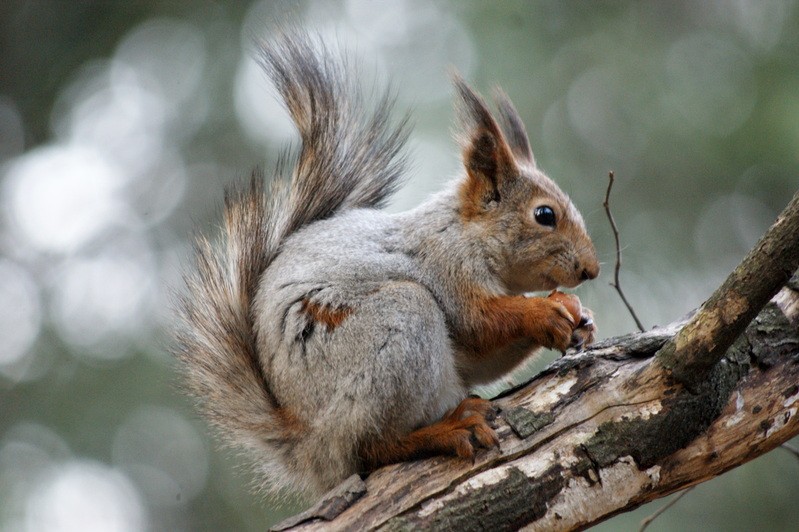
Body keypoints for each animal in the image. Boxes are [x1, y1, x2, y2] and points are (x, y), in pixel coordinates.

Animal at [175, 33, 600, 498]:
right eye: (545, 215)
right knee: (372, 448)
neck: (464, 232)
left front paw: (579, 314)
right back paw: (448, 430)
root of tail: (309, 445)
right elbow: (479, 322)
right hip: (393, 332)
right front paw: (544, 311)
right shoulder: (445, 266)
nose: (592, 270)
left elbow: (482, 357)